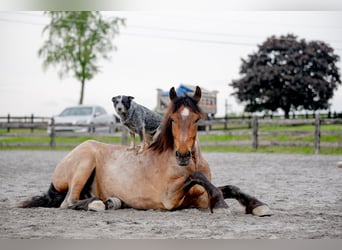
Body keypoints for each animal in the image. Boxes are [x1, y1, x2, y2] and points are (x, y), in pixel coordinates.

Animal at [20, 87, 272, 216]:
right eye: (172, 119)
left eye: (197, 119)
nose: (182, 155)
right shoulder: (170, 197)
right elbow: (196, 176)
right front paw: (220, 205)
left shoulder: (199, 197)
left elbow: (230, 187)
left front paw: (257, 205)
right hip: (85, 161)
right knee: (68, 202)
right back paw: (99, 204)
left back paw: (112, 202)